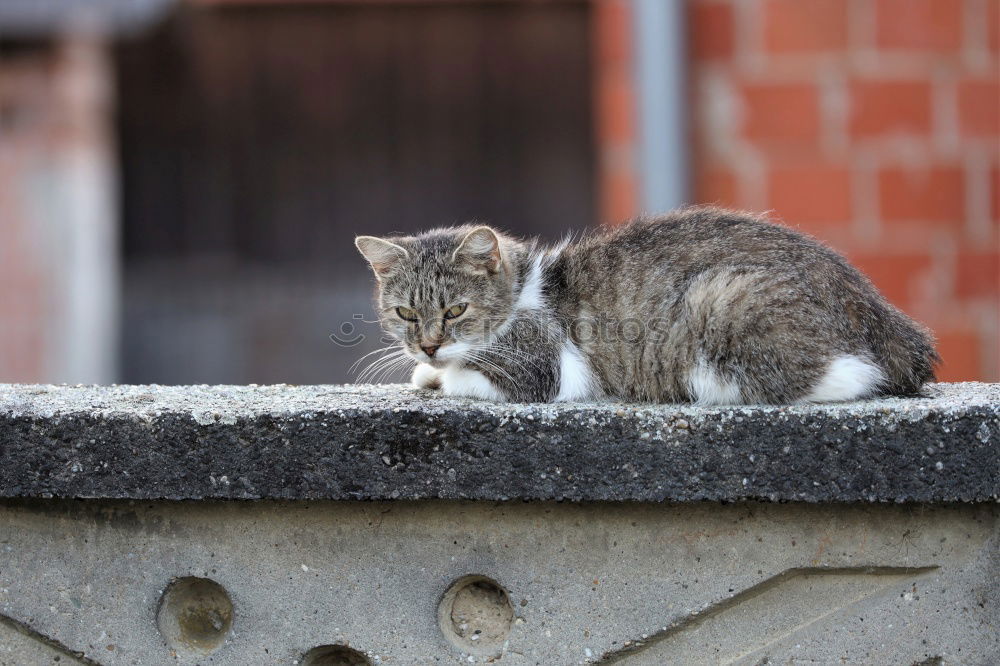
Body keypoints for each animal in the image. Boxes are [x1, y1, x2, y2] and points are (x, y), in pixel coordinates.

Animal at [356, 205, 940, 402]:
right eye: (406, 313)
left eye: (455, 311)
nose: (429, 346)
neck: (525, 287)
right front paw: (428, 371)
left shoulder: (546, 369)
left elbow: (471, 378)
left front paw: (442, 375)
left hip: (721, 299)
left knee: (842, 376)